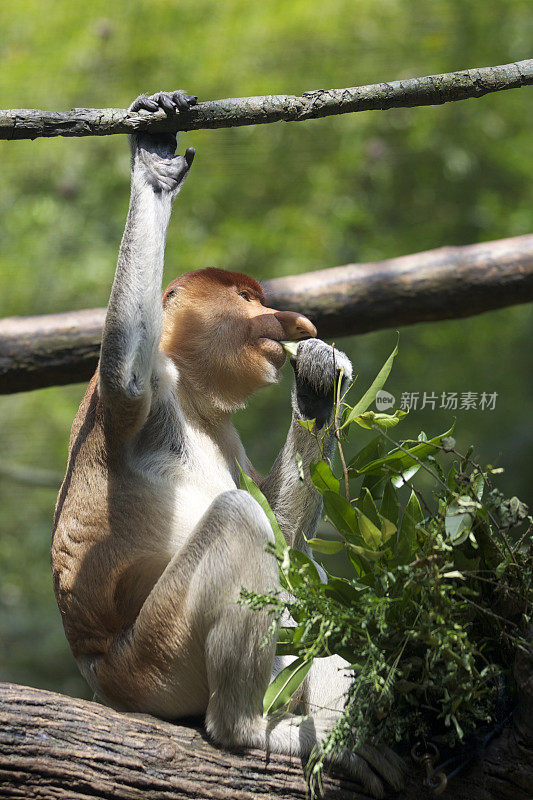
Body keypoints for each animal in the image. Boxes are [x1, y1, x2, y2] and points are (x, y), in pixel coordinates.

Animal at [53, 92, 404, 792]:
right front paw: (153, 168)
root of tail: (99, 672)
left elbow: (283, 525)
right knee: (238, 519)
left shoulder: (224, 426)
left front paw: (317, 379)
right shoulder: (134, 398)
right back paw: (247, 730)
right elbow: (126, 375)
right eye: (245, 298)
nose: (283, 323)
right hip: (156, 662)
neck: (189, 393)